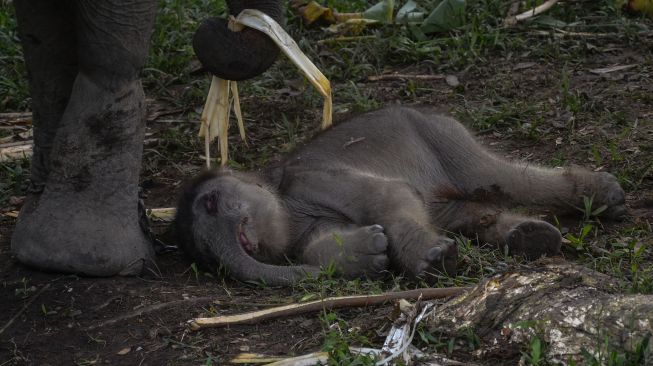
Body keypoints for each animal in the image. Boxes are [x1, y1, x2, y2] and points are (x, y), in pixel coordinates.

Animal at [174, 106, 628, 286]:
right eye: (205, 256)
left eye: (210, 203)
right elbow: (319, 246)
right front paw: (373, 252)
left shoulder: (313, 178)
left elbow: (391, 196)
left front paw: (434, 261)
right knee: (467, 212)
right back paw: (532, 238)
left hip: (442, 136)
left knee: (497, 177)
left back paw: (610, 196)